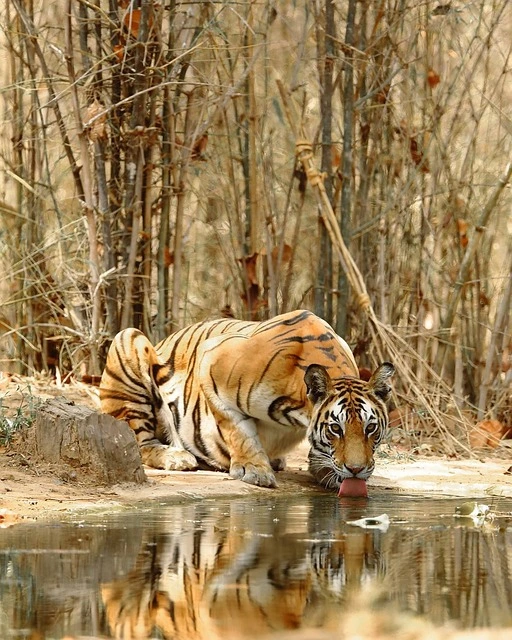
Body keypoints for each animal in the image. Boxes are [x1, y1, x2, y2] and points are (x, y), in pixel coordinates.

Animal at [100, 309, 394, 490]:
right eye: (336, 428)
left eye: (370, 428)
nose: (356, 470)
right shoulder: (211, 363)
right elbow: (237, 429)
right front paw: (255, 470)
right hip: (128, 340)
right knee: (139, 443)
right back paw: (177, 457)